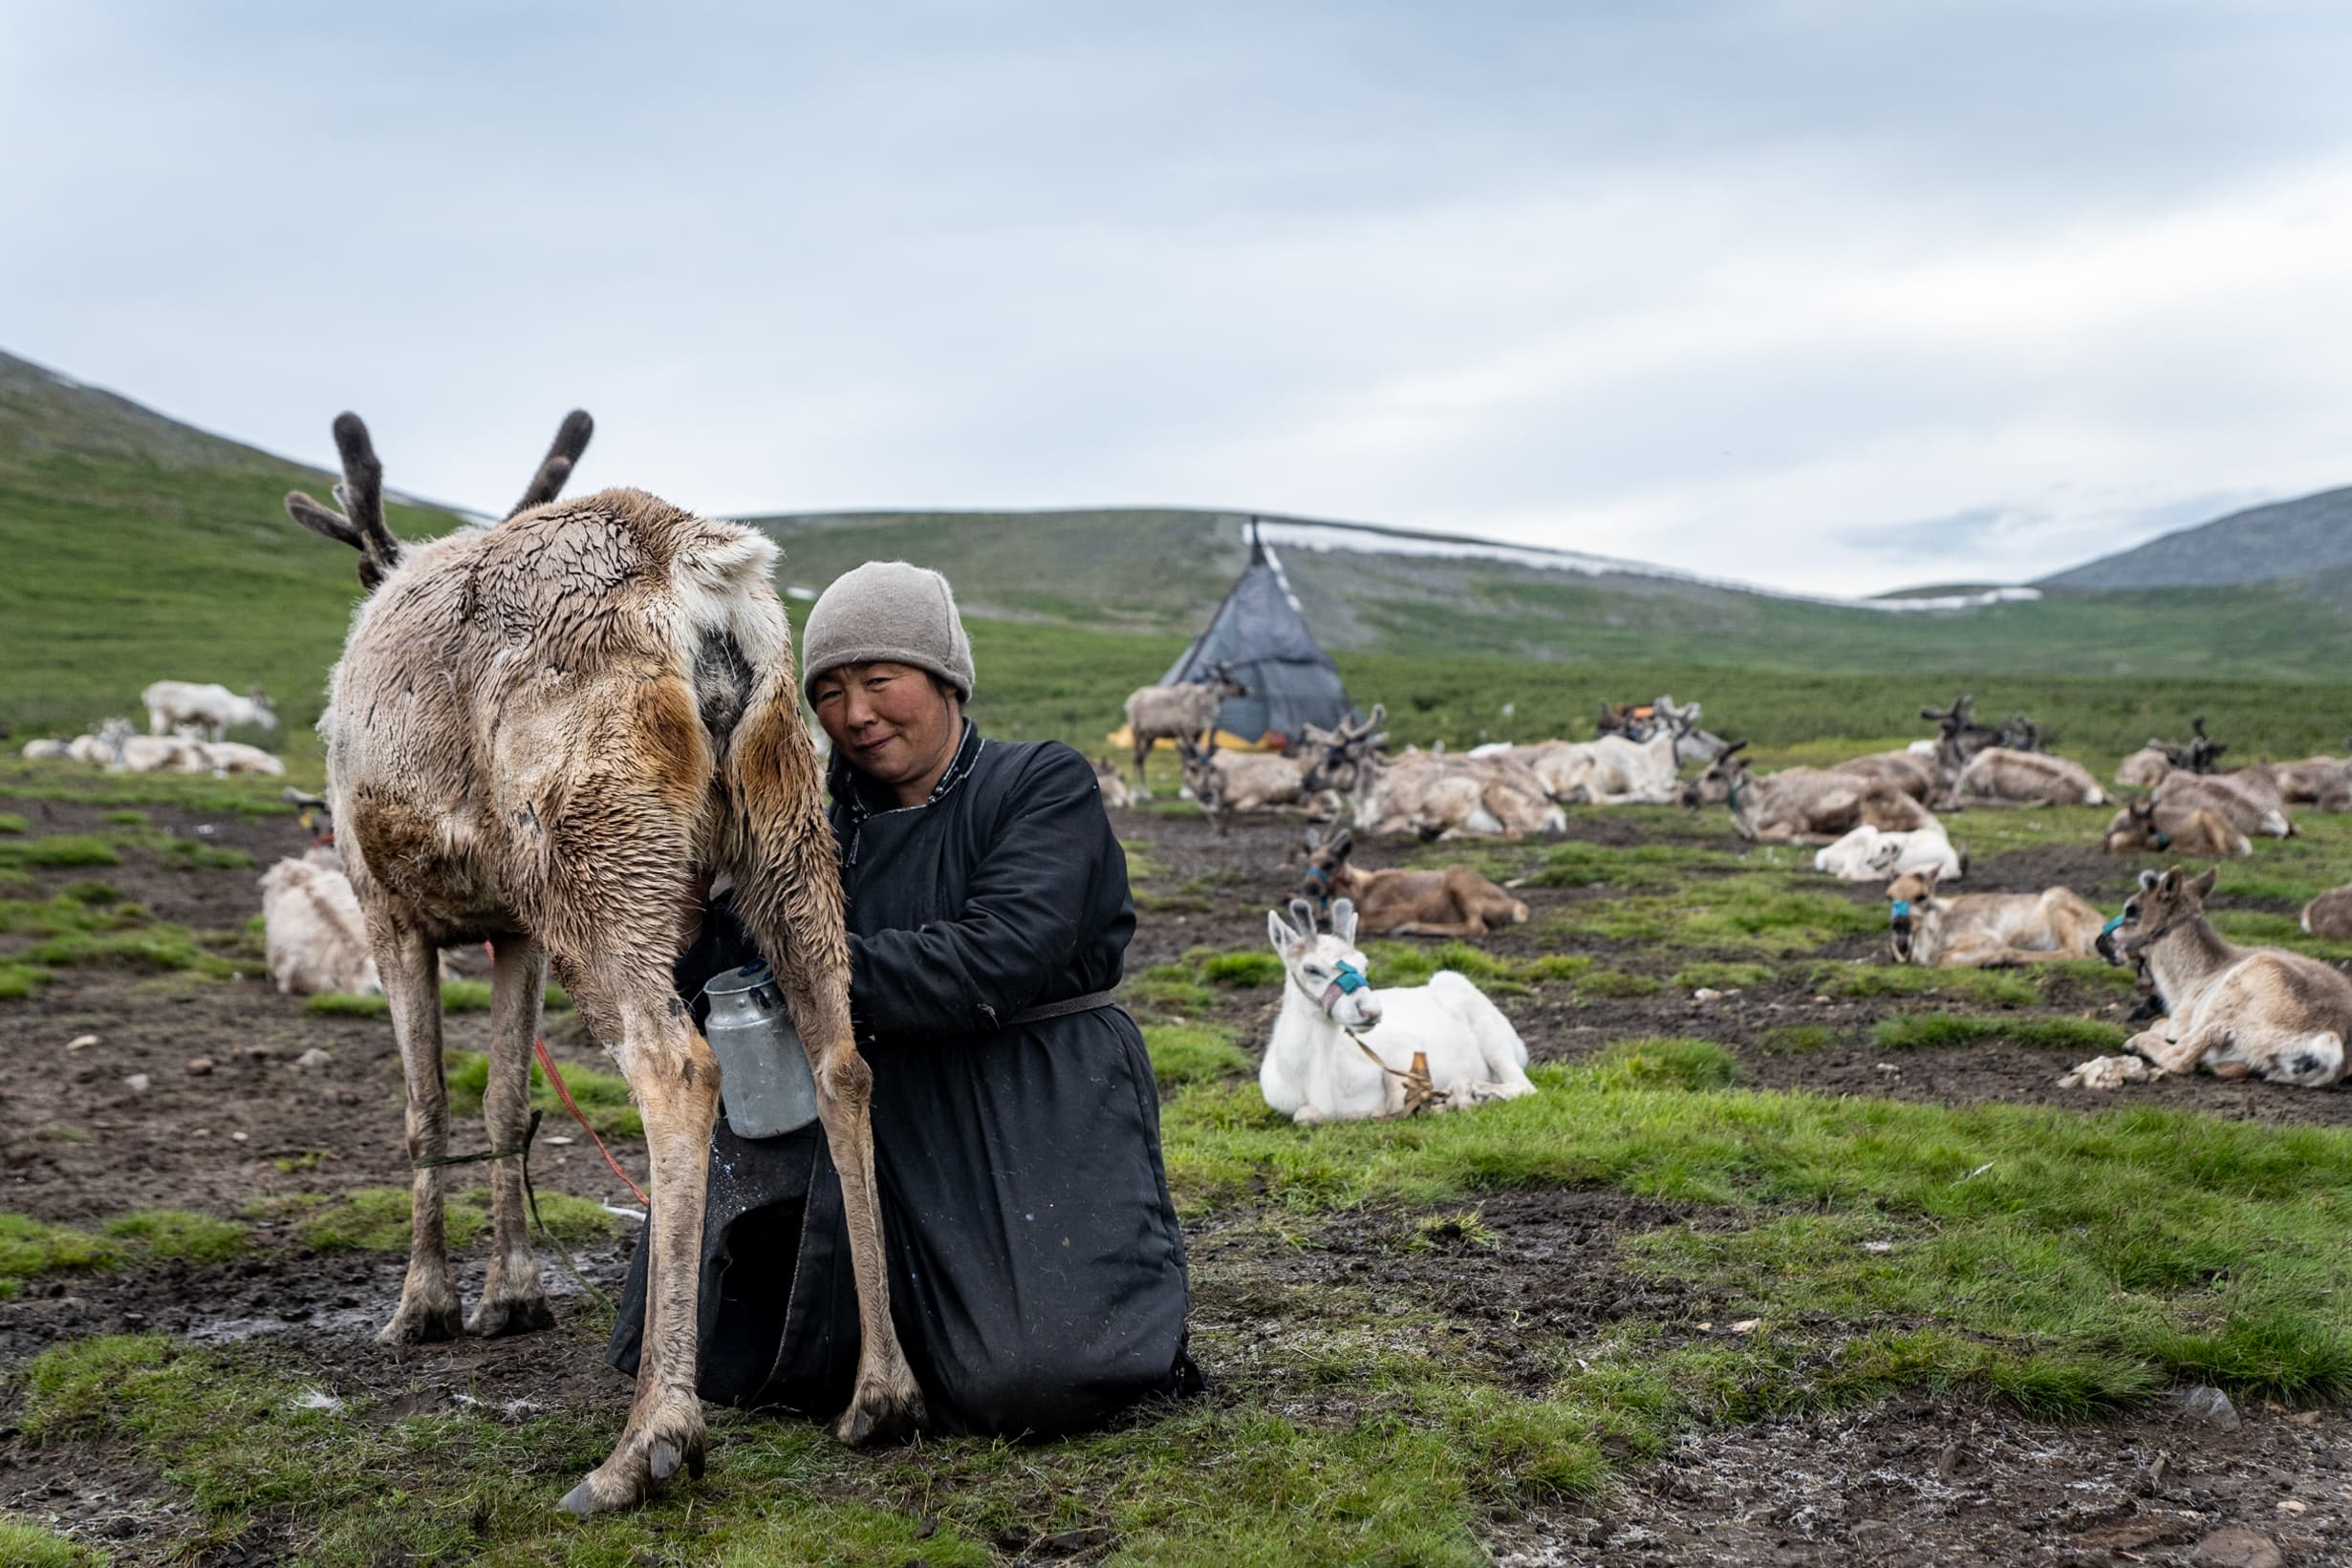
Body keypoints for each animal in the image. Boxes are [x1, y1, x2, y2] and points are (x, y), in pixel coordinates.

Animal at [282, 410, 919, 1514]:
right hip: (785, 822)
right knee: (840, 1058)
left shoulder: (388, 908)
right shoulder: (512, 929)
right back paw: (879, 1393)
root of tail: (702, 573)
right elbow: (505, 1100)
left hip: (591, 853)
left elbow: (424, 1107)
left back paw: (651, 1437)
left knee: (677, 1067)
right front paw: (512, 1293)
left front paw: (424, 1303)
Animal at [1123, 661, 1247, 797]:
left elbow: (1194, 756)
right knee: (1135, 757)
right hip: (1136, 731)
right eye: (1226, 680)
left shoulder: (1198, 733)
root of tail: (1129, 701)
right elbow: (1186, 757)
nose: (1244, 689)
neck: (1204, 704)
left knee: (1141, 758)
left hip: (1151, 737)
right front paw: (1186, 791)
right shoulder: (1184, 730)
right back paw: (1134, 792)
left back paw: (1146, 792)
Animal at [1296, 827, 1527, 937]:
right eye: (1308, 862)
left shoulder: (1402, 909)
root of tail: (1514, 905)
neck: (1359, 894)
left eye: (1330, 864)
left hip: (1458, 879)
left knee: (1476, 927)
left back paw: (1411, 927)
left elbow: (1360, 922)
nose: (1309, 887)